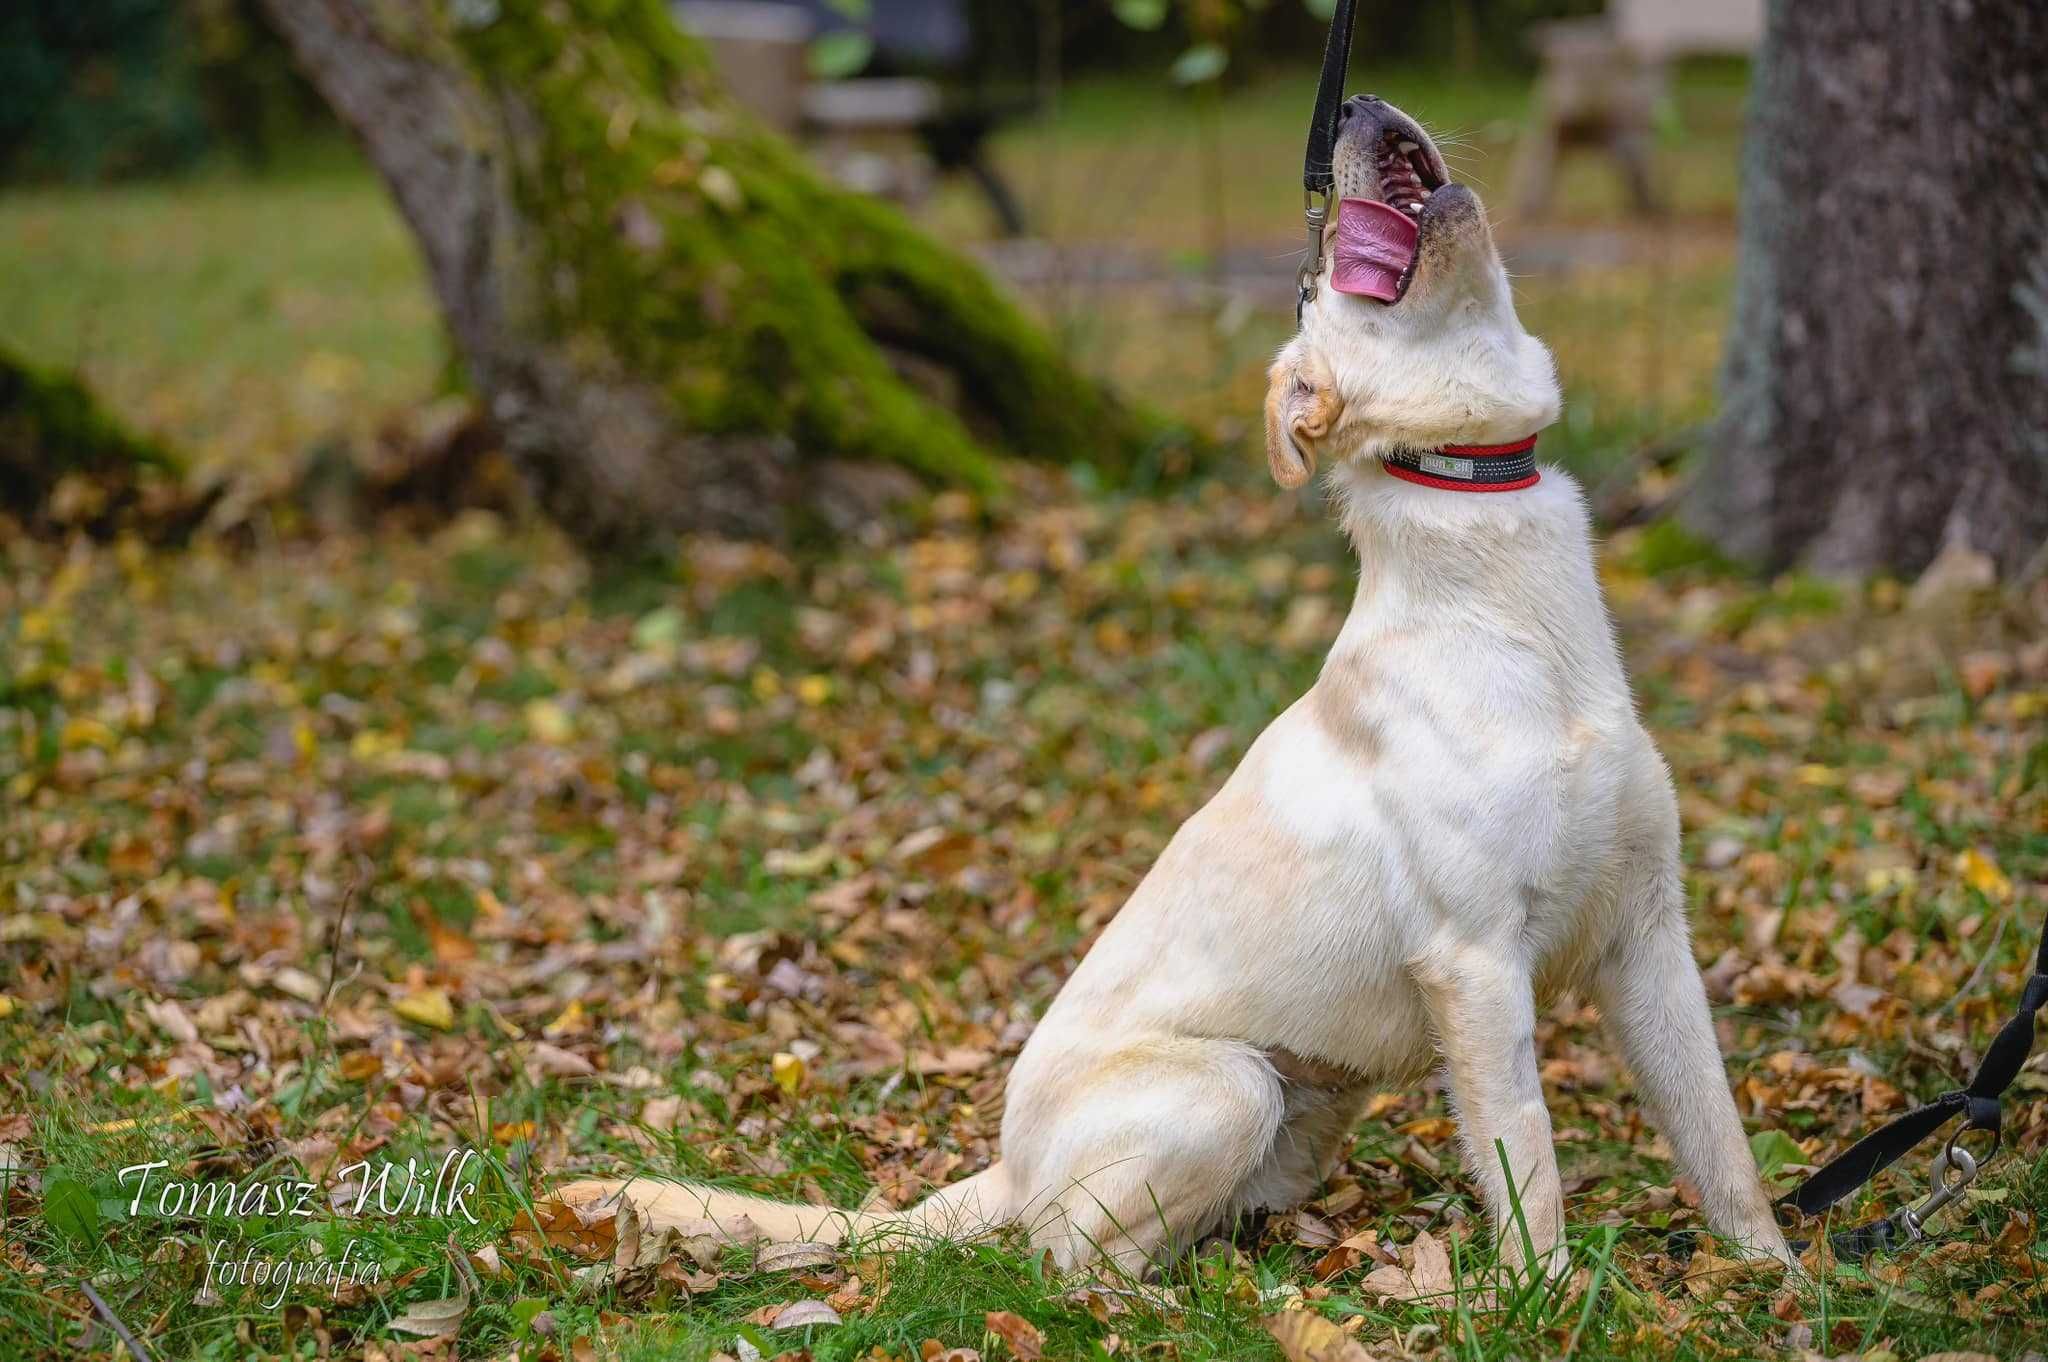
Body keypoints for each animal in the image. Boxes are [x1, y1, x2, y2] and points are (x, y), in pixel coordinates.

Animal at [565, 95, 1794, 1278]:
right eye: (1319, 280)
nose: (1352, 105)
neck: (1505, 600)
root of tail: (1007, 1167)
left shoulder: (1650, 937)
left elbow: (1718, 1137)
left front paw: (1774, 1276)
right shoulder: (1478, 963)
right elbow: (1527, 1165)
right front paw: (1543, 1306)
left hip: (1312, 1103)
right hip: (1227, 1085)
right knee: (1063, 1262)